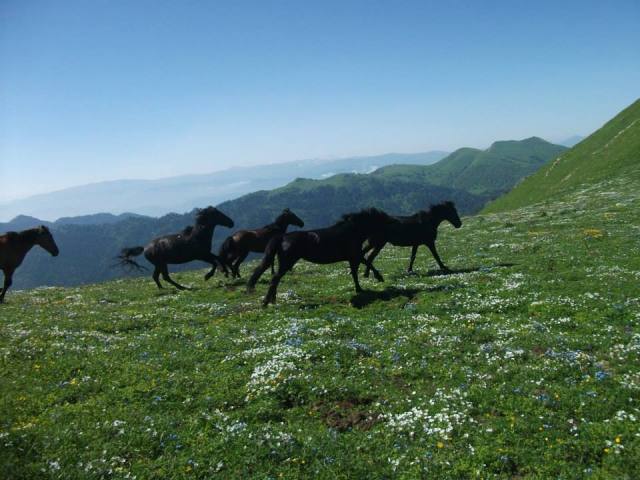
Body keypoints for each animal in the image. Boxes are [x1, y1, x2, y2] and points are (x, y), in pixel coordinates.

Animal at [247, 208, 393, 306]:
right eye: (383, 220)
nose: (385, 237)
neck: (351, 232)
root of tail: (282, 237)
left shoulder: (353, 258)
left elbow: (355, 273)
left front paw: (359, 289)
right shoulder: (355, 255)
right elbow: (367, 263)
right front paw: (379, 278)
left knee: (275, 279)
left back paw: (272, 300)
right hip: (287, 263)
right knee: (274, 279)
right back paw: (266, 302)